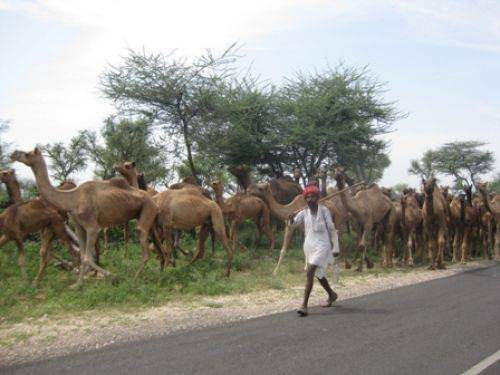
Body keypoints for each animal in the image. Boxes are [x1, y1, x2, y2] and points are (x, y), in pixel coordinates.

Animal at [10, 148, 165, 288]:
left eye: (27, 154)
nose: (13, 154)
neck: (72, 198)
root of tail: (153, 200)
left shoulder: (92, 227)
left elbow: (86, 257)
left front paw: (111, 277)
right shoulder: (78, 226)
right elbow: (83, 254)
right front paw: (78, 283)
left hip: (147, 209)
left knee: (144, 245)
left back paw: (135, 279)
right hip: (148, 217)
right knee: (157, 247)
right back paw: (159, 272)